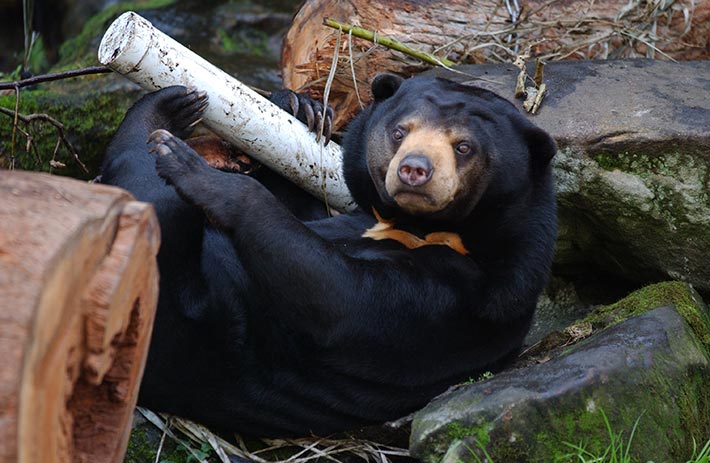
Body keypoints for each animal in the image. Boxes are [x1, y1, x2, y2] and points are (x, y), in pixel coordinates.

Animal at [100, 74, 560, 436]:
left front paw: (205, 176)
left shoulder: (464, 302)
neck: (416, 227)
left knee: (146, 191)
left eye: (463, 147)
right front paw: (302, 106)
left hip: (181, 313)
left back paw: (163, 135)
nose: (414, 169)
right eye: (400, 131)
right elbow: (304, 209)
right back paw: (174, 105)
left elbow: (339, 299)